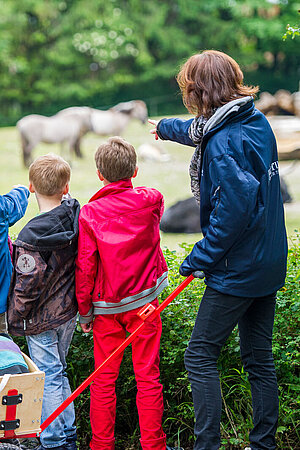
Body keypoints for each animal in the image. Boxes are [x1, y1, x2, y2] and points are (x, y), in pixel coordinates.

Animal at [16, 100, 148, 167]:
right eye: (140, 111)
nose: (144, 120)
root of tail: (21, 123)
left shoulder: (64, 140)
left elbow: (63, 150)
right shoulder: (70, 138)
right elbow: (69, 150)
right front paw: (69, 162)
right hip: (34, 141)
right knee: (28, 151)